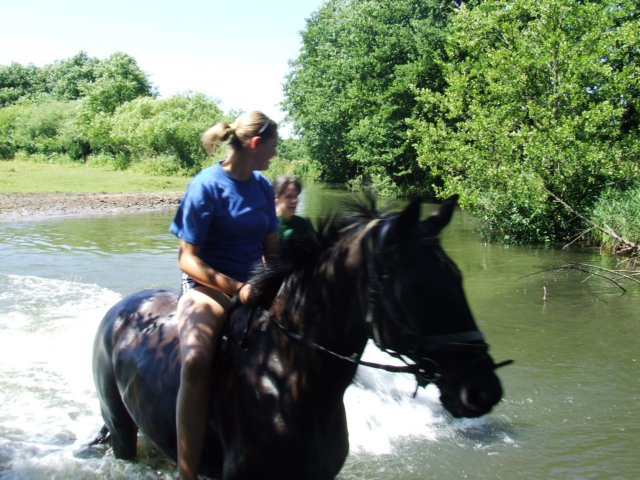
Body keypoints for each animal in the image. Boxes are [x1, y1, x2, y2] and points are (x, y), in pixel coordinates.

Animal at [92, 195, 511, 479]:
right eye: (419, 287)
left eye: (457, 276)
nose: (482, 390)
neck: (286, 378)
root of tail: (119, 311)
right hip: (121, 427)